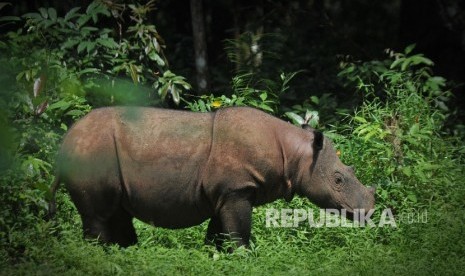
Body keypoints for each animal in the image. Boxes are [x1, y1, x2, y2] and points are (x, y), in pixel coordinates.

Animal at [49, 106, 376, 249]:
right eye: (338, 180)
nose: (370, 211)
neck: (296, 155)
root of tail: (64, 143)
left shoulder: (225, 193)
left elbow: (218, 233)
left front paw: (215, 256)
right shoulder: (236, 190)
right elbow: (238, 233)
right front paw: (245, 258)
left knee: (117, 212)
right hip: (90, 153)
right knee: (98, 217)